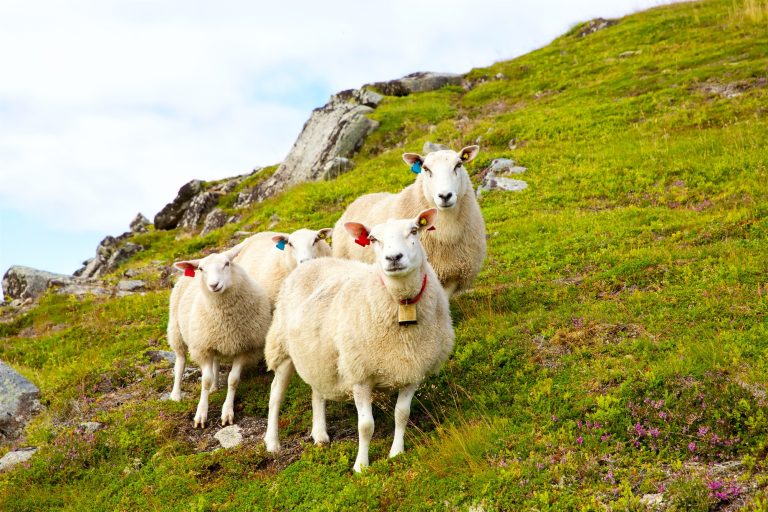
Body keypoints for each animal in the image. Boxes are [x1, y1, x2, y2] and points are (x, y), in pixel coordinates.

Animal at [167, 243, 272, 428]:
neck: (225, 319)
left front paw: (227, 412)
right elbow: (205, 380)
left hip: (214, 339)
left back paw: (215, 387)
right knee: (180, 362)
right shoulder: (203, 348)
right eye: (201, 269)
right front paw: (201, 414)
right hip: (176, 331)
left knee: (215, 362)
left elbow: (233, 380)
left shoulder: (244, 348)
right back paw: (176, 395)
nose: (214, 285)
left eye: (227, 264)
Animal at [264, 208, 455, 472]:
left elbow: (402, 414)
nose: (393, 258)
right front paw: (361, 466)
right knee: (275, 395)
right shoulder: (359, 373)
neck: (401, 303)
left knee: (317, 391)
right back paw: (272, 442)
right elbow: (366, 426)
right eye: (373, 238)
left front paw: (396, 453)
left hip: (318, 354)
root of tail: (311, 263)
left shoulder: (413, 369)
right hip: (281, 348)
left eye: (414, 230)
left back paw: (320, 434)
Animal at [332, 146, 486, 297]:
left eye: (458, 165)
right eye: (426, 169)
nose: (445, 196)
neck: (446, 229)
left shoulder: (453, 275)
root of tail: (359, 199)